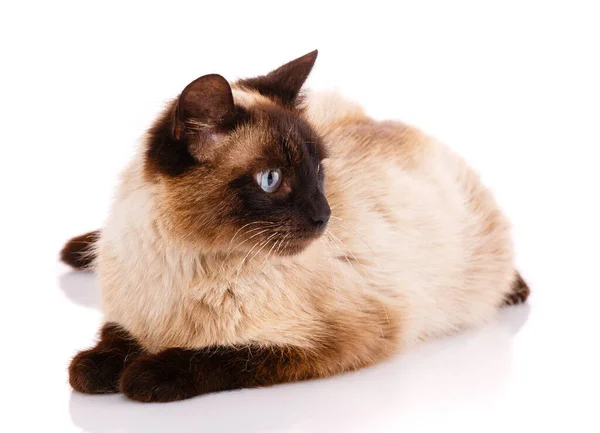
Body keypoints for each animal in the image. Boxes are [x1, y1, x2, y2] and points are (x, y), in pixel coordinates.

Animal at [62, 49, 528, 402]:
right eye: (271, 180)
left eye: (318, 172)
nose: (325, 215)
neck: (186, 264)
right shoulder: (131, 316)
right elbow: (105, 348)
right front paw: (99, 366)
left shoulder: (331, 341)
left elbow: (220, 357)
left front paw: (144, 376)